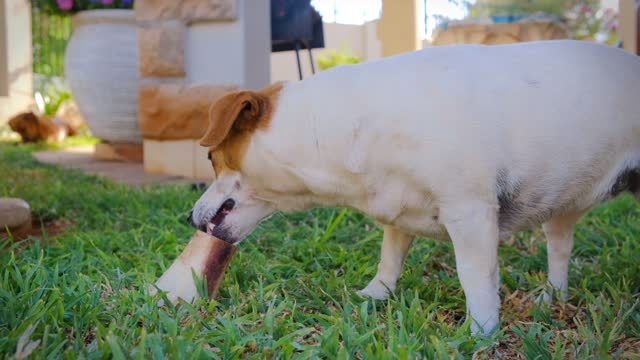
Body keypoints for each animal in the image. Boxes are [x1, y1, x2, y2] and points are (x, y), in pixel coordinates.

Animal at [182, 40, 636, 336]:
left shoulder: (470, 212)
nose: (188, 216)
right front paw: (375, 294)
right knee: (559, 249)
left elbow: (476, 276)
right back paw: (553, 296)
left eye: (211, 158)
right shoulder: (396, 208)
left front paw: (481, 330)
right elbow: (390, 257)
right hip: (561, 211)